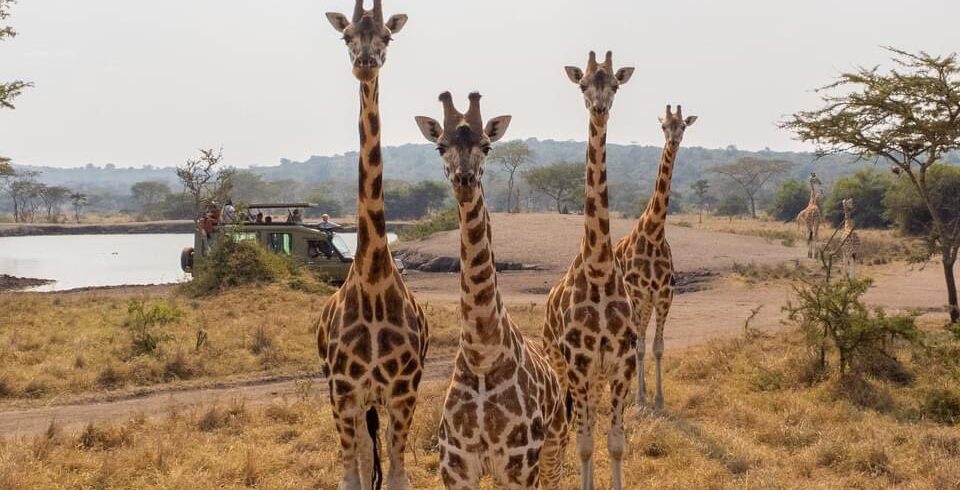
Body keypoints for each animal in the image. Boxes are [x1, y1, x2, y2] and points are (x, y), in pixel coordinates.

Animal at [414, 91, 568, 486]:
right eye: (440, 147)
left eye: (486, 145)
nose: (464, 178)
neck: (482, 355)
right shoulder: (456, 463)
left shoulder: (519, 462)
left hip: (555, 443)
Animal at [616, 105, 696, 412]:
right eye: (664, 126)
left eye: (683, 126)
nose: (673, 141)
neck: (653, 233)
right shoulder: (639, 294)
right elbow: (639, 347)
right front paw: (639, 399)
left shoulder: (664, 294)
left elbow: (658, 347)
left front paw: (659, 400)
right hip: (631, 301)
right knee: (632, 340)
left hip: (648, 303)